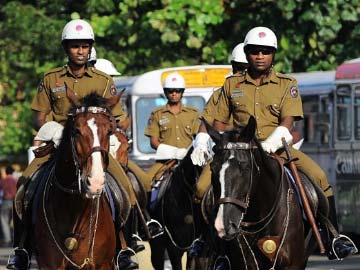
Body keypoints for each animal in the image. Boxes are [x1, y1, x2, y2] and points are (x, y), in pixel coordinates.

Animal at [33, 92, 131, 268]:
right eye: (77, 130)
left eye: (109, 131)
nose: (95, 182)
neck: (73, 207)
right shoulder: (49, 265)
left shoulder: (103, 265)